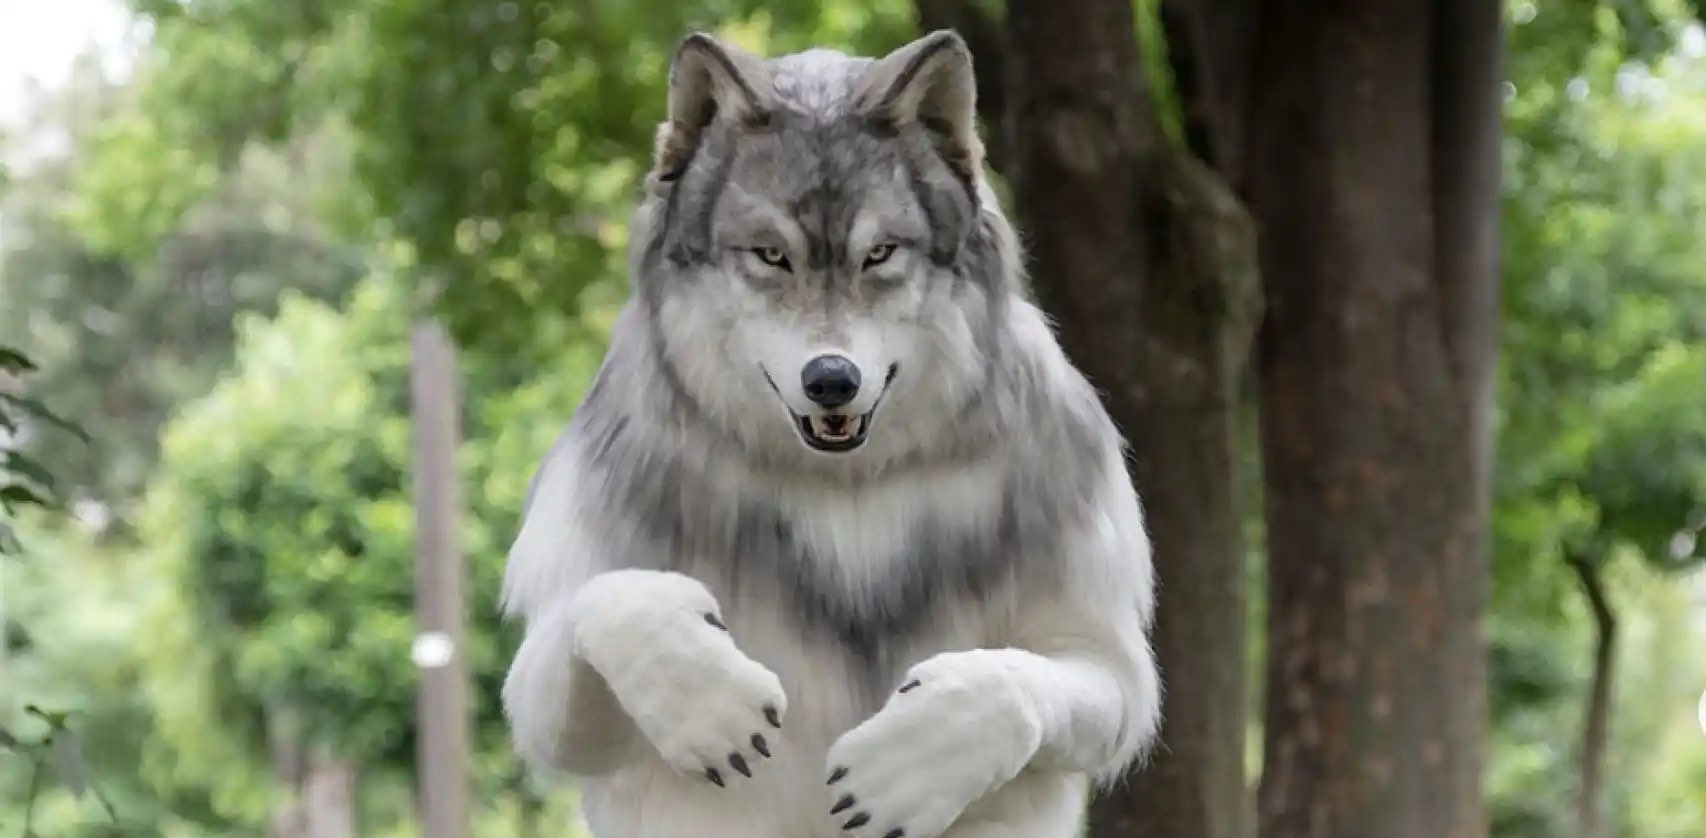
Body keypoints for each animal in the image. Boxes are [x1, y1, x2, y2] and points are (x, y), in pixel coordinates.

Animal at [500, 29, 1161, 838]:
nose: (831, 379)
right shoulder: (546, 691)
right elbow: (612, 601)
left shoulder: (1104, 663)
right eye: (770, 255)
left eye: (879, 254)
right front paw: (711, 705)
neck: (842, 487)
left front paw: (911, 761)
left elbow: (1004, 683)